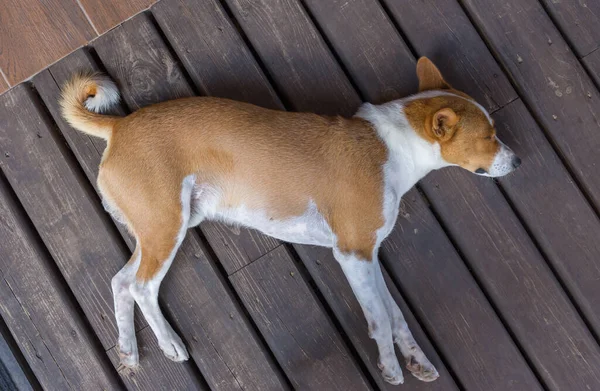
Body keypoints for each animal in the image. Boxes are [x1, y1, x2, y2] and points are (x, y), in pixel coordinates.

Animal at [59, 58, 520, 386]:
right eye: (489, 137)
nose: (517, 161)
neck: (395, 146)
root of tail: (120, 124)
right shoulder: (353, 254)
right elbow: (380, 318)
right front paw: (391, 368)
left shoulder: (369, 257)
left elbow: (395, 314)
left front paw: (415, 360)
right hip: (167, 227)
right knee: (141, 286)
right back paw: (170, 343)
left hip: (162, 228)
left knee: (121, 282)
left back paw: (128, 350)